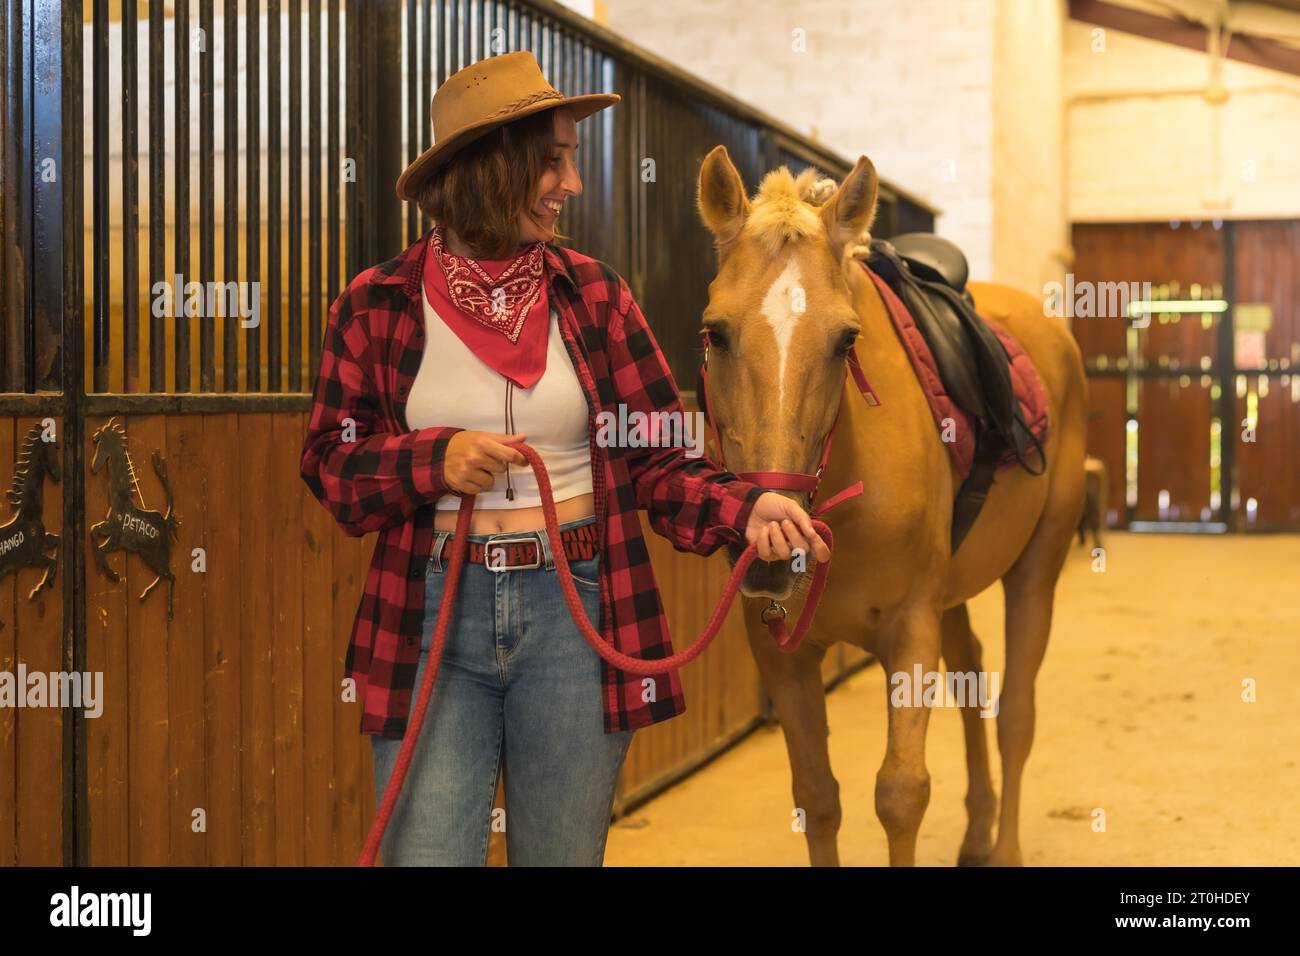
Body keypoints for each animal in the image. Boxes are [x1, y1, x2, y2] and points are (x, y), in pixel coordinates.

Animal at [702, 143, 1086, 868]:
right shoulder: (779, 647)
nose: (772, 550)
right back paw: (977, 832)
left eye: (846, 340)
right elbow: (818, 795)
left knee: (1017, 714)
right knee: (971, 671)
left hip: (1036, 569)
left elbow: (901, 793)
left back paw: (1004, 847)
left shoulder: (910, 628)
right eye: (715, 333)